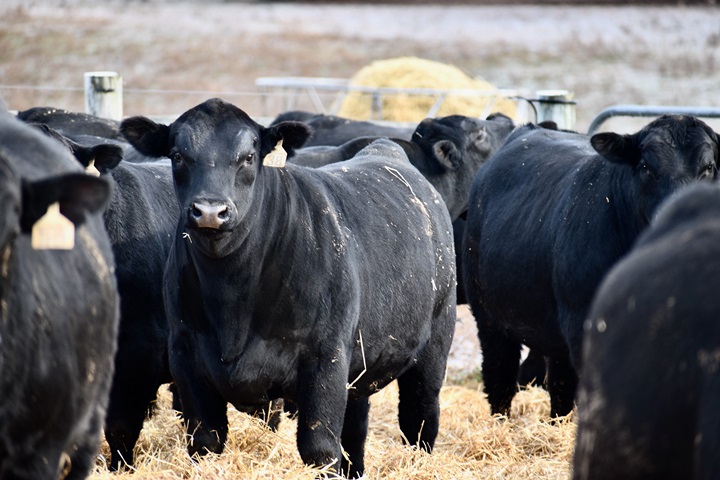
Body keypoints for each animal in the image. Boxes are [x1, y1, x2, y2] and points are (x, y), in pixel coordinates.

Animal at [462, 115, 720, 418]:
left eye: (709, 167)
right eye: (645, 166)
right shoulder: (583, 323)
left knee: (560, 386)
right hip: (488, 315)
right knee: (500, 377)